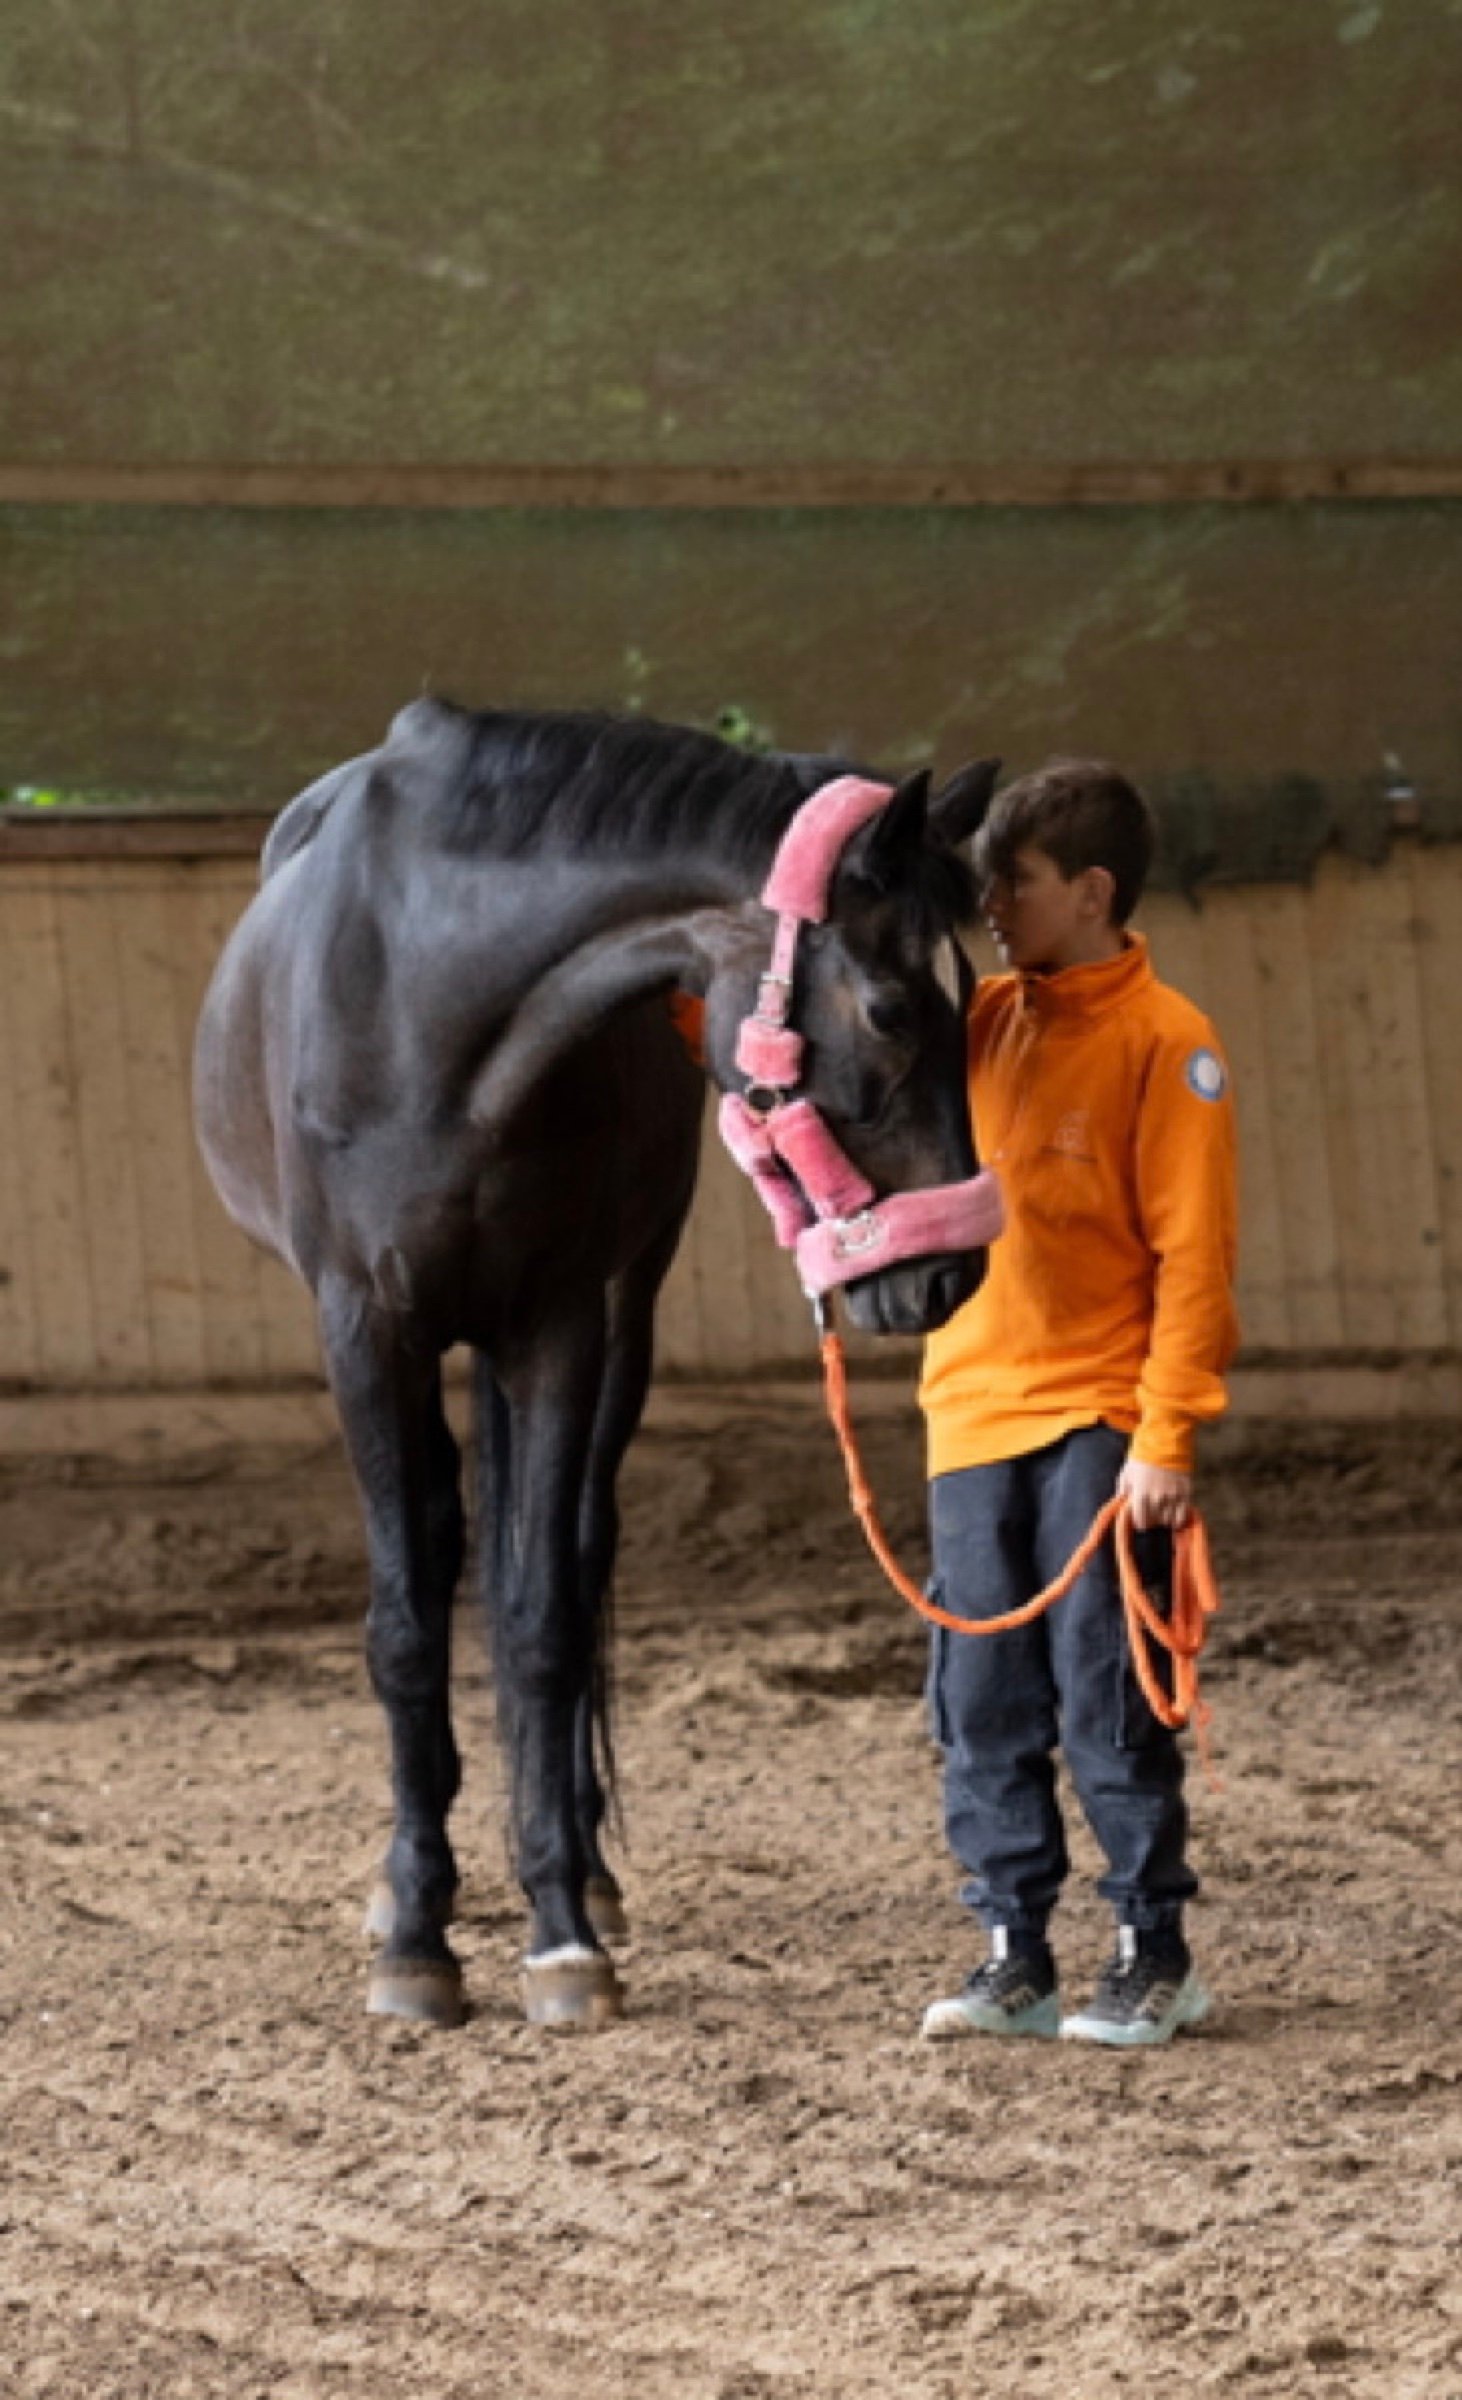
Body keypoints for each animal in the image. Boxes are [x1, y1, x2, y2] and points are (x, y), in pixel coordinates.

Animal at [193, 698, 1000, 2031]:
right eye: (891, 1009)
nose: (947, 1277)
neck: (433, 1004)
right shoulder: (366, 1329)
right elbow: (407, 1625)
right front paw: (415, 1936)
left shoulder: (559, 1323)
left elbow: (543, 1618)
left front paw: (560, 1928)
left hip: (613, 1325)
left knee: (567, 1547)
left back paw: (574, 1861)